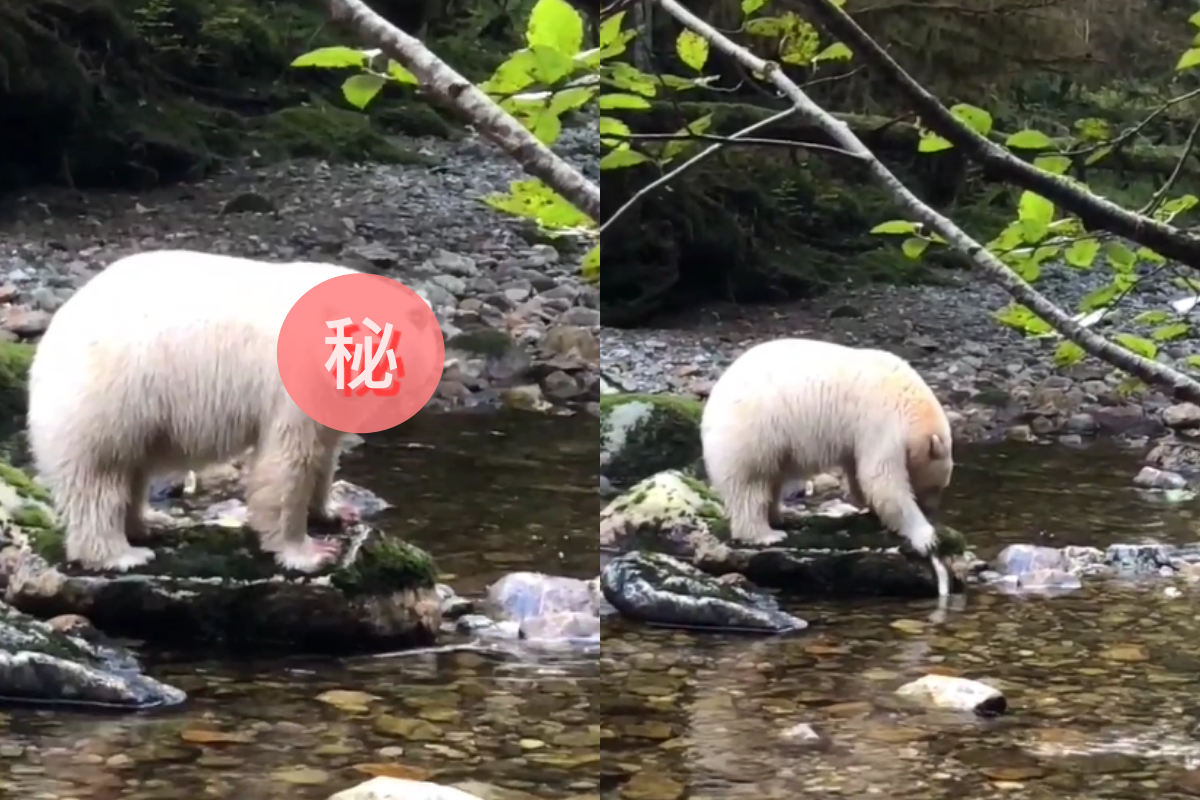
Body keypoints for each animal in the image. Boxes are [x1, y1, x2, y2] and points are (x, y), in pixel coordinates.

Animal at [26, 249, 382, 573]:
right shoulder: (297, 380)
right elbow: (289, 461)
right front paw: (308, 552)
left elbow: (323, 452)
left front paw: (334, 510)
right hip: (109, 395)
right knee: (99, 477)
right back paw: (120, 554)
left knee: (132, 469)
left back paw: (149, 523)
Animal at [700, 337, 953, 558]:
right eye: (936, 486)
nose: (932, 510)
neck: (913, 405)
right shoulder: (885, 423)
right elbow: (884, 481)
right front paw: (925, 536)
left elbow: (859, 472)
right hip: (753, 432)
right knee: (750, 484)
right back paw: (766, 534)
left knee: (772, 479)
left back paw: (782, 517)